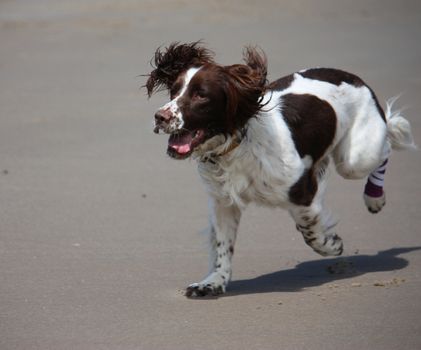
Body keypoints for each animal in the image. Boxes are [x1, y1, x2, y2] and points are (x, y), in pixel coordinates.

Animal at [144, 42, 414, 296]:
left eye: (201, 95)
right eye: (174, 90)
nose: (160, 117)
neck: (238, 144)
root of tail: (353, 77)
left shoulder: (301, 191)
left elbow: (309, 231)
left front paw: (331, 244)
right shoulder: (223, 202)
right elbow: (223, 246)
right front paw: (212, 283)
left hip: (356, 158)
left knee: (387, 144)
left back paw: (375, 199)